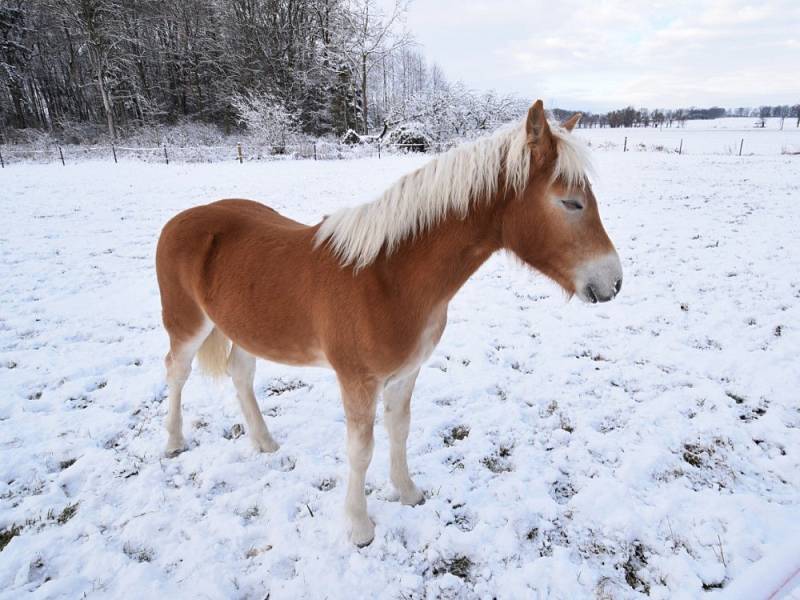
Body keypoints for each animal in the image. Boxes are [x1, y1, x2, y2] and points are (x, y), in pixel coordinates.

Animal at [153, 98, 620, 544]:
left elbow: (399, 430)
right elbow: (361, 450)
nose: (613, 282)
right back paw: (174, 442)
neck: (387, 277)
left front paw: (408, 493)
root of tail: (180, 220)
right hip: (188, 324)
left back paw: (264, 442)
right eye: (570, 201)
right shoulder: (358, 381)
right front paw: (359, 527)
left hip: (243, 327)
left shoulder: (405, 374)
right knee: (176, 371)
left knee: (240, 372)